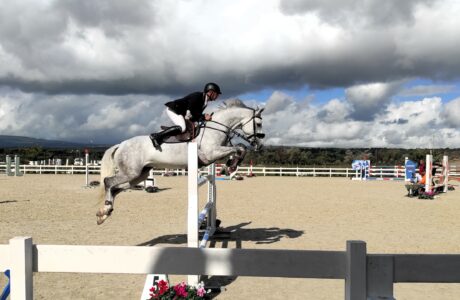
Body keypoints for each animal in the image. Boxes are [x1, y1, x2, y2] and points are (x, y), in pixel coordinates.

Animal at [95, 99, 264, 224]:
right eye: (259, 124)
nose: (260, 145)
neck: (214, 129)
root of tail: (121, 144)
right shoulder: (211, 153)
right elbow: (240, 148)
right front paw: (231, 166)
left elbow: (240, 148)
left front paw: (230, 166)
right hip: (131, 172)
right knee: (108, 182)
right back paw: (105, 211)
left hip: (139, 175)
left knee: (116, 188)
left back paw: (104, 213)